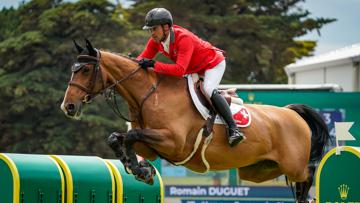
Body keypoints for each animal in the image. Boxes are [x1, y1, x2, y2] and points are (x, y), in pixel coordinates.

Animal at [61, 39, 330, 201]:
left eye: (85, 70)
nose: (68, 106)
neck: (150, 95)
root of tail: (292, 113)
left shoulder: (174, 143)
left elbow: (131, 135)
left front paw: (139, 169)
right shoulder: (150, 146)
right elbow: (117, 138)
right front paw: (139, 168)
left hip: (292, 164)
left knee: (309, 172)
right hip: (259, 169)